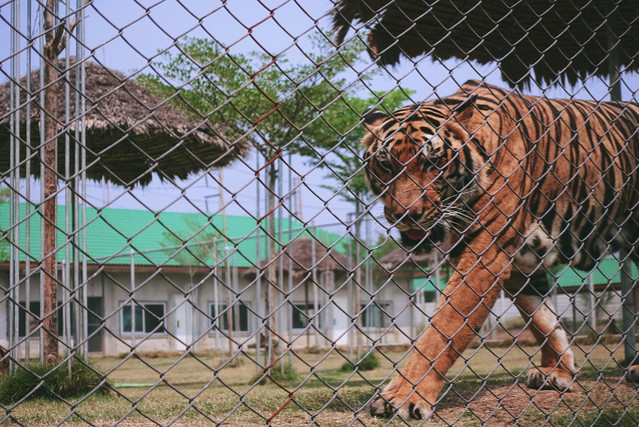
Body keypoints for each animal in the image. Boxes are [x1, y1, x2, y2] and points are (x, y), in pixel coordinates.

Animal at [360, 78, 639, 420]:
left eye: (432, 162)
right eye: (386, 165)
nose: (406, 214)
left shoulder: (485, 255)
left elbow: (443, 328)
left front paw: (403, 395)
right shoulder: (520, 260)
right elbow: (543, 319)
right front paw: (557, 371)